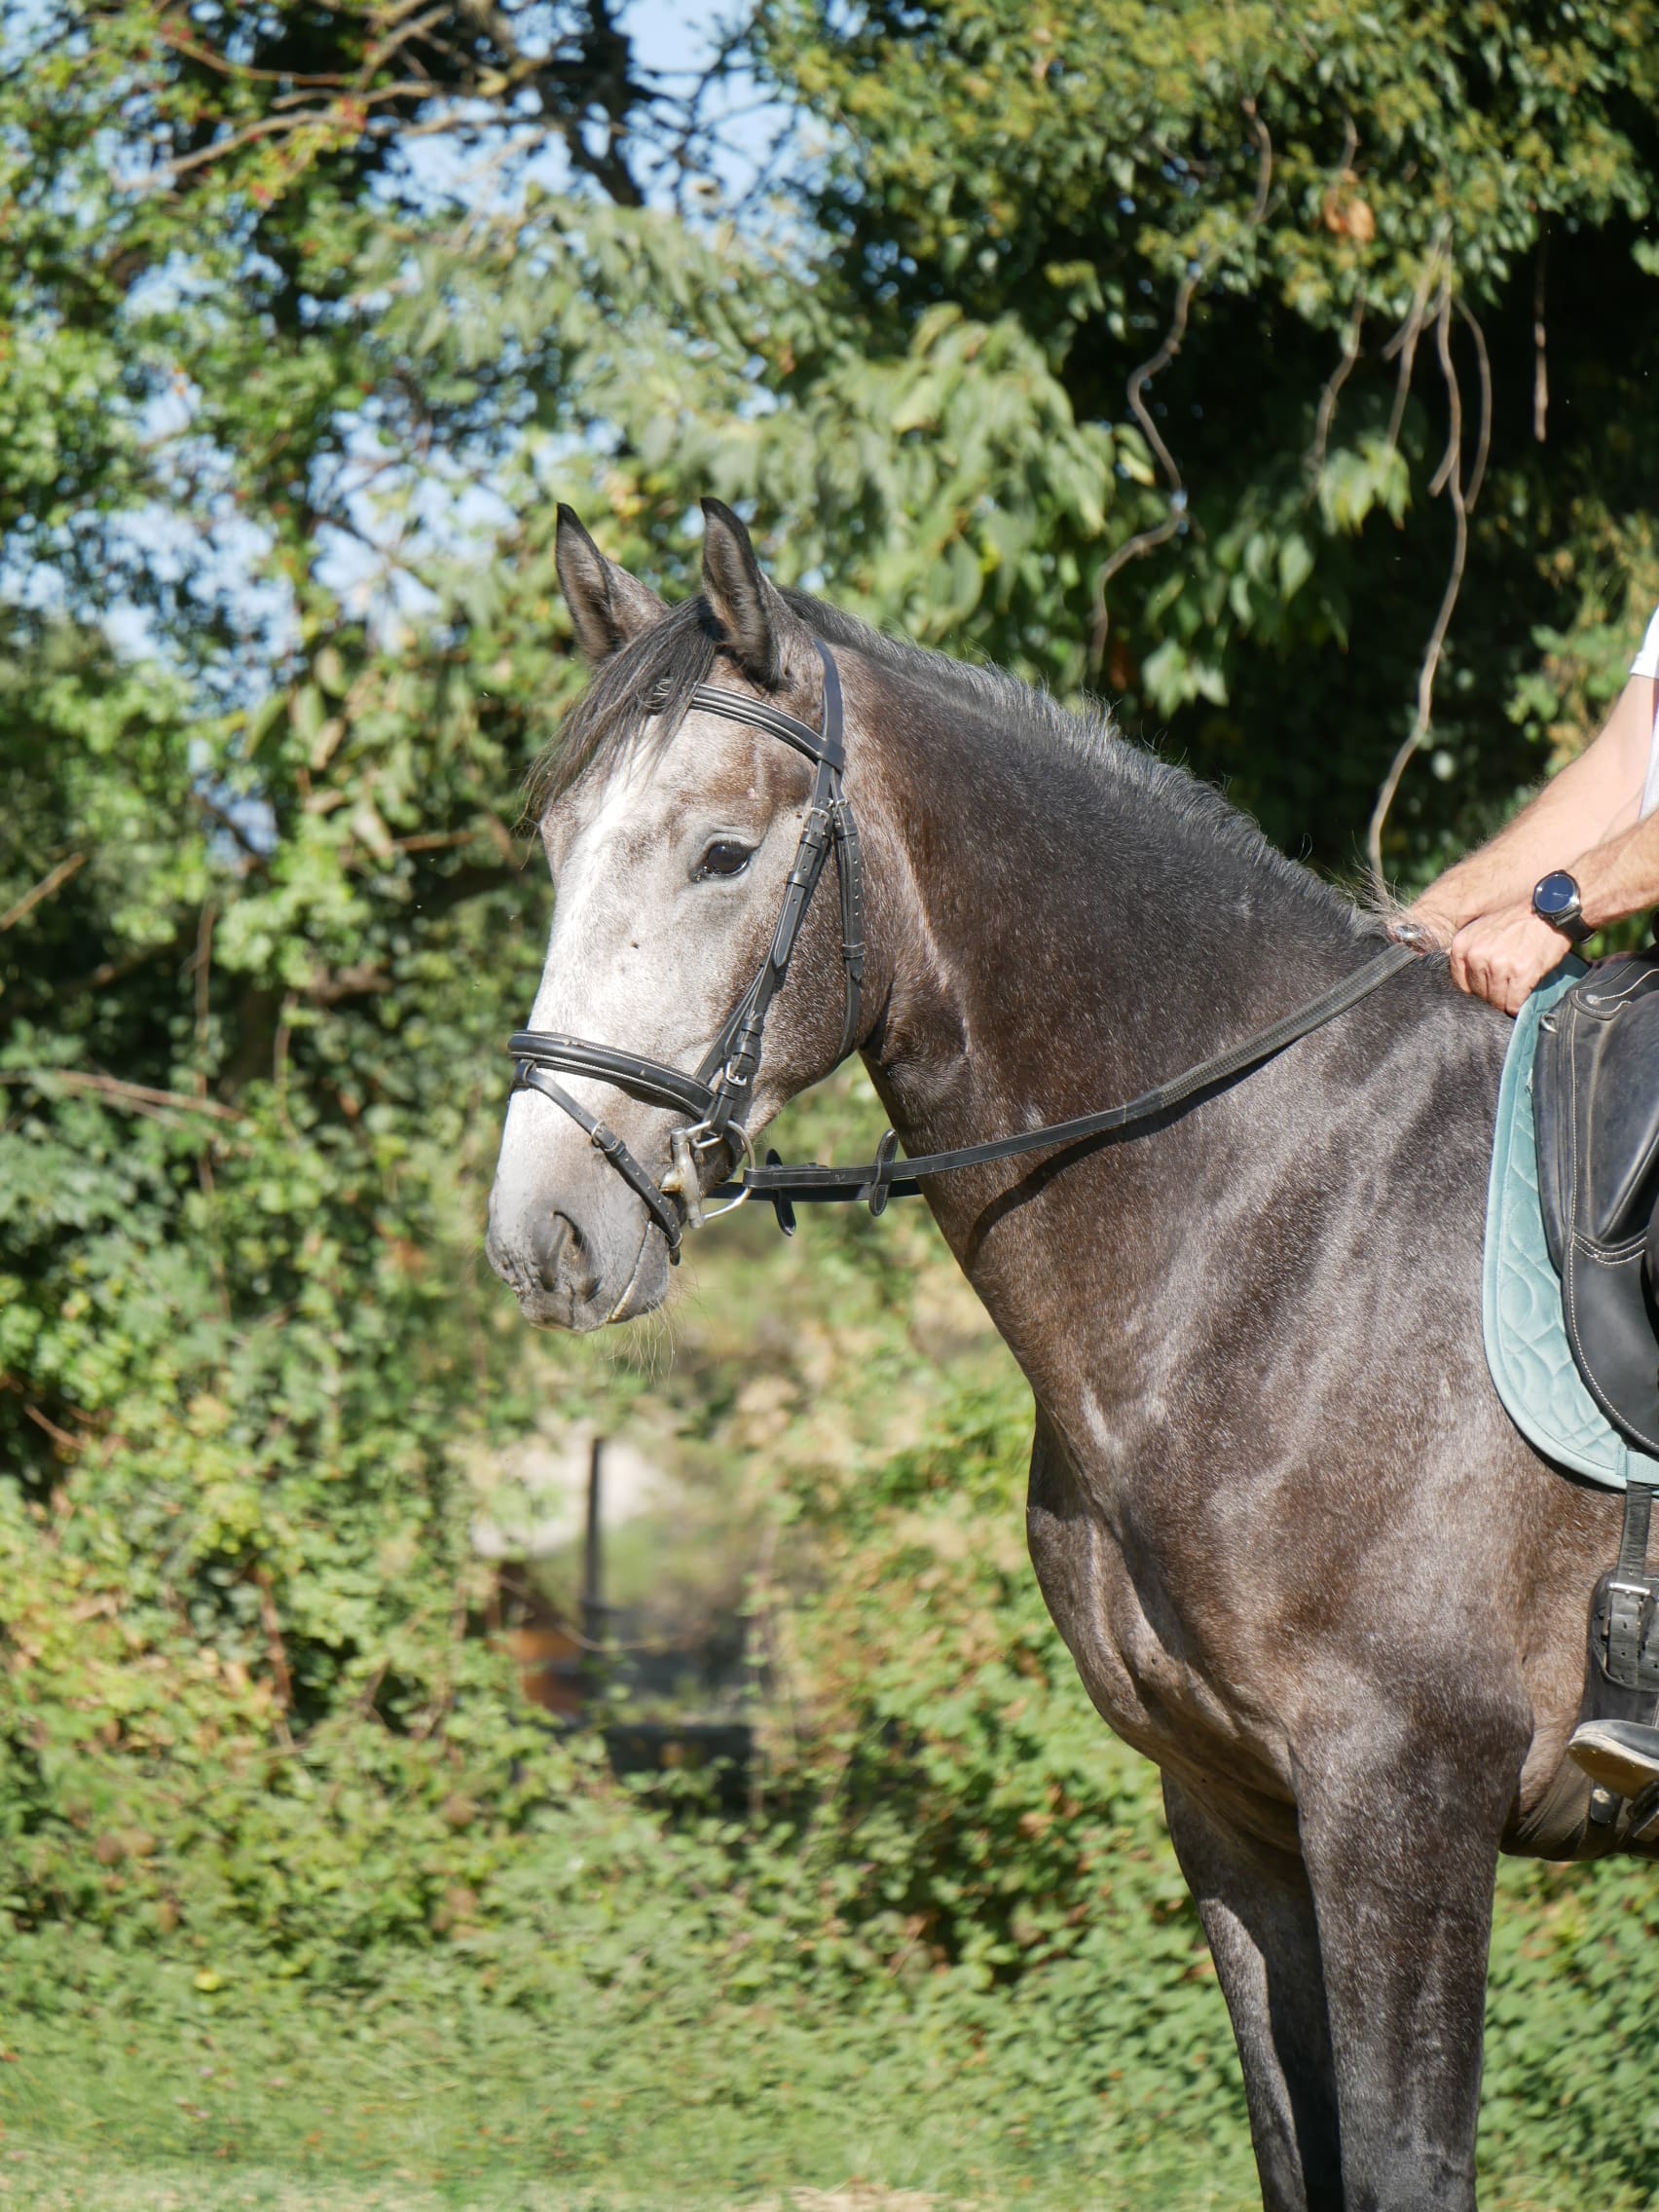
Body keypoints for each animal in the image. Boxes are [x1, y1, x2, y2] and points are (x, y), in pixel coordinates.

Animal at [487, 498, 1643, 2212]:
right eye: (561, 849)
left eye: (723, 853)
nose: (544, 1231)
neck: (1282, 1224)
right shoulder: (1231, 1808)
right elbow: (1295, 2155)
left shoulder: (1404, 1802)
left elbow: (1401, 2168)